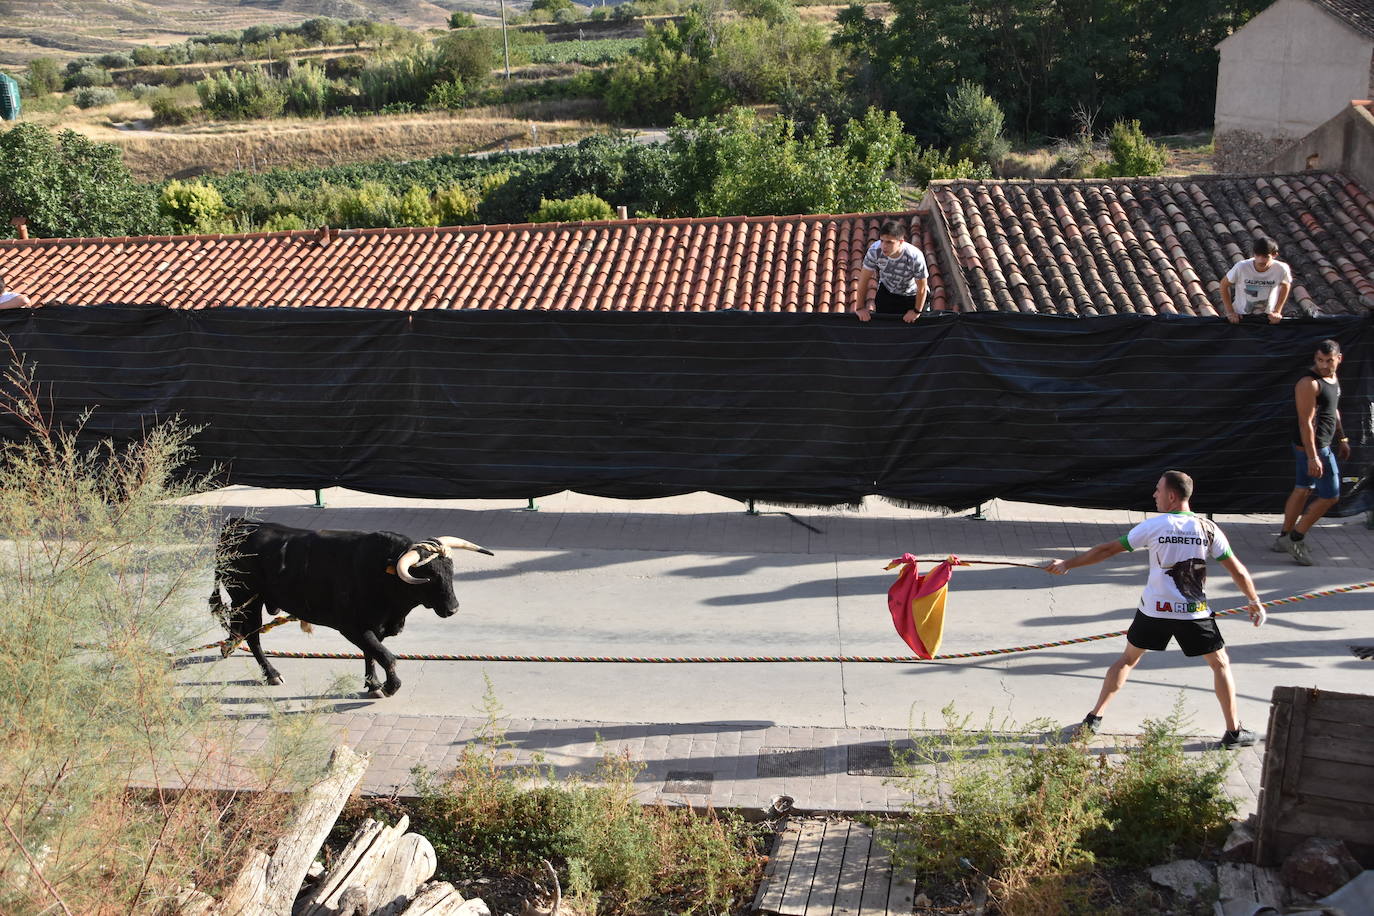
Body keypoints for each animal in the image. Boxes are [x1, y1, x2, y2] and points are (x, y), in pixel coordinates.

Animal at [208, 519, 494, 697]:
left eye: (450, 572)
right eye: (429, 576)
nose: (453, 609)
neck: (382, 573)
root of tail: (237, 525)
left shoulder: (374, 626)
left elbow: (372, 654)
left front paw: (373, 684)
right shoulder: (352, 627)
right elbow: (386, 656)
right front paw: (389, 687)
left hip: (243, 601)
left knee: (239, 628)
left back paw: (228, 647)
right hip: (248, 599)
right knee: (253, 635)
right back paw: (271, 674)